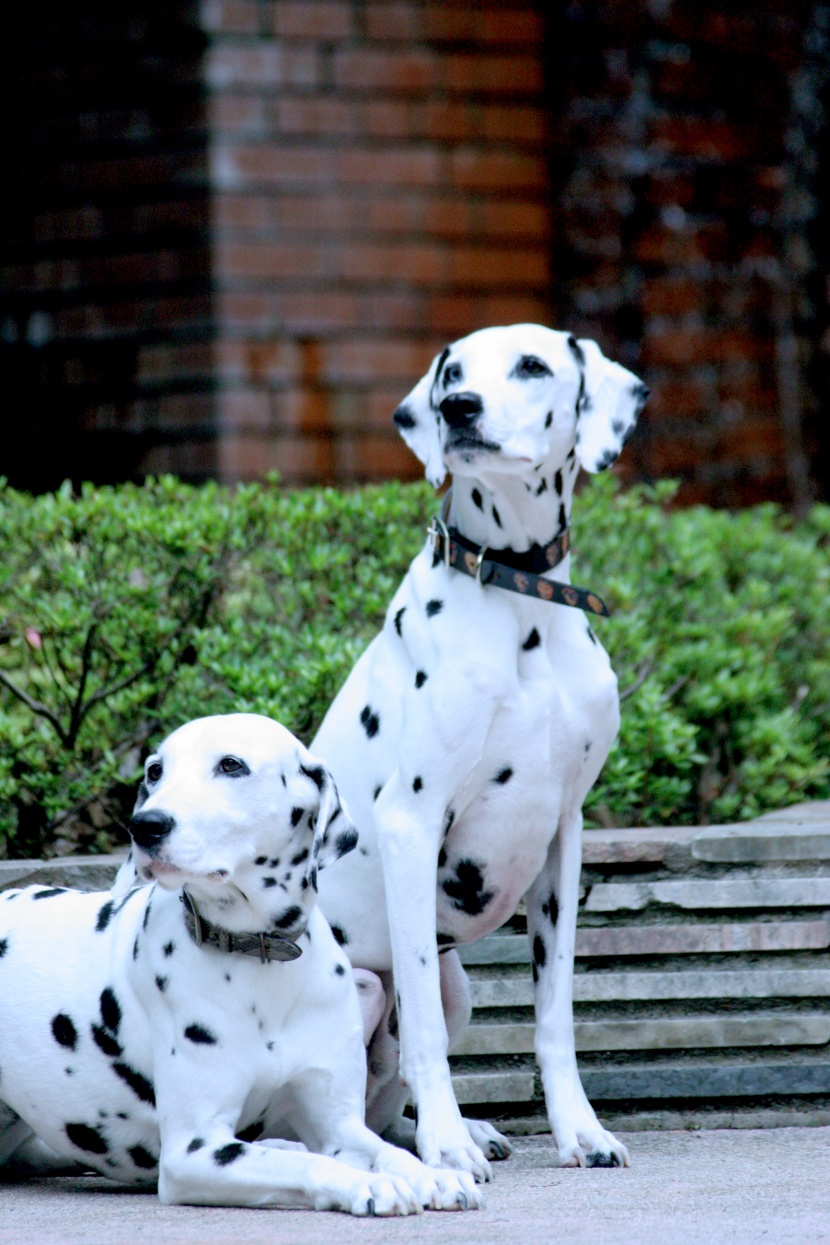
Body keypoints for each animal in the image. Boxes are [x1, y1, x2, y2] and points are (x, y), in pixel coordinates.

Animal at [0, 717, 480, 1210]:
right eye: (156, 770)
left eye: (231, 765)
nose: (145, 825)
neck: (258, 958)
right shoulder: (194, 1151)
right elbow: (310, 1164)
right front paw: (369, 1183)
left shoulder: (338, 1124)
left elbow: (383, 1151)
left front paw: (433, 1174)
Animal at [313, 321, 647, 1175]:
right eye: (452, 373)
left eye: (531, 365)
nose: (460, 406)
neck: (516, 596)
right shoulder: (410, 820)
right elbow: (426, 1036)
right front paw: (445, 1142)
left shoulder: (563, 835)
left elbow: (554, 1015)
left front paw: (579, 1129)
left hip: (458, 983)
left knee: (382, 1090)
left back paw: (459, 1129)